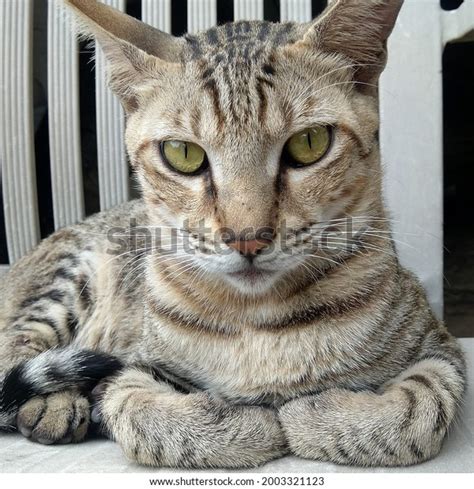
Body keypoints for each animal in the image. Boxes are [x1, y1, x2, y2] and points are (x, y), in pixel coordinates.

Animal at [0, 0, 466, 468]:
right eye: (182, 153)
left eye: (310, 142)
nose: (248, 237)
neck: (255, 321)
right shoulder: (135, 365)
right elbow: (138, 413)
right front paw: (253, 424)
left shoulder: (439, 350)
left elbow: (417, 409)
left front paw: (313, 413)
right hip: (67, 279)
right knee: (13, 349)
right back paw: (55, 401)